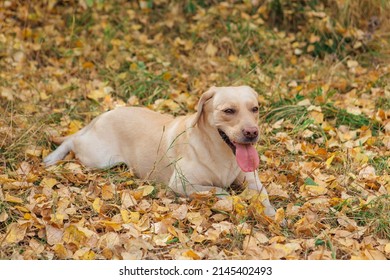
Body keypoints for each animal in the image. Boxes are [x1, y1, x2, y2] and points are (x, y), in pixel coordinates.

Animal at [44, 86, 278, 218]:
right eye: (229, 111)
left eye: (255, 109)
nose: (252, 132)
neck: (221, 152)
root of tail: (103, 114)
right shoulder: (183, 184)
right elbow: (221, 191)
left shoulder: (251, 178)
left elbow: (263, 192)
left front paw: (271, 213)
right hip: (98, 158)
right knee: (73, 141)